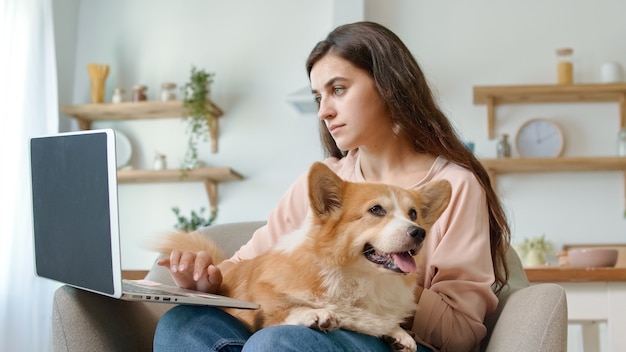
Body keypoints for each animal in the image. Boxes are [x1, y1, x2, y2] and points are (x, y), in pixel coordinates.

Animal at [156, 163, 448, 352]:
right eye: (376, 210)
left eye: (413, 214)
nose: (419, 232)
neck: (359, 279)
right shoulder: (265, 310)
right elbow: (286, 311)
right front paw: (315, 314)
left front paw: (399, 334)